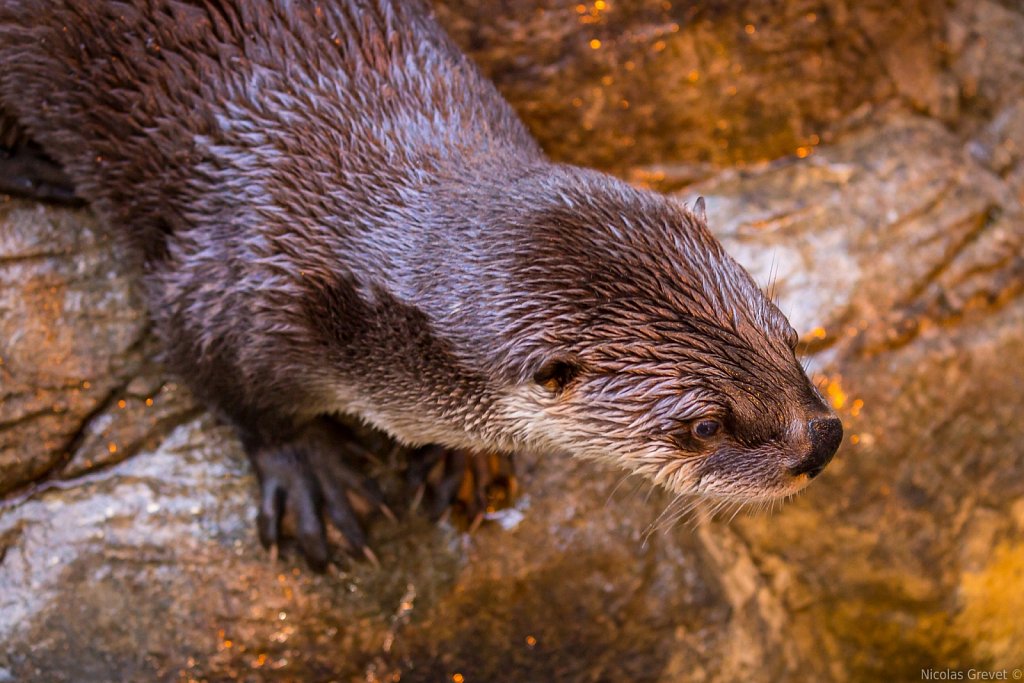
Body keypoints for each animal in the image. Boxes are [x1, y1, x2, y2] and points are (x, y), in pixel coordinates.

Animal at [0, 0, 839, 569]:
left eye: (788, 333)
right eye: (703, 425)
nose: (822, 441)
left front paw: (463, 460)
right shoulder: (221, 288)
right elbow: (230, 386)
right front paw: (310, 474)